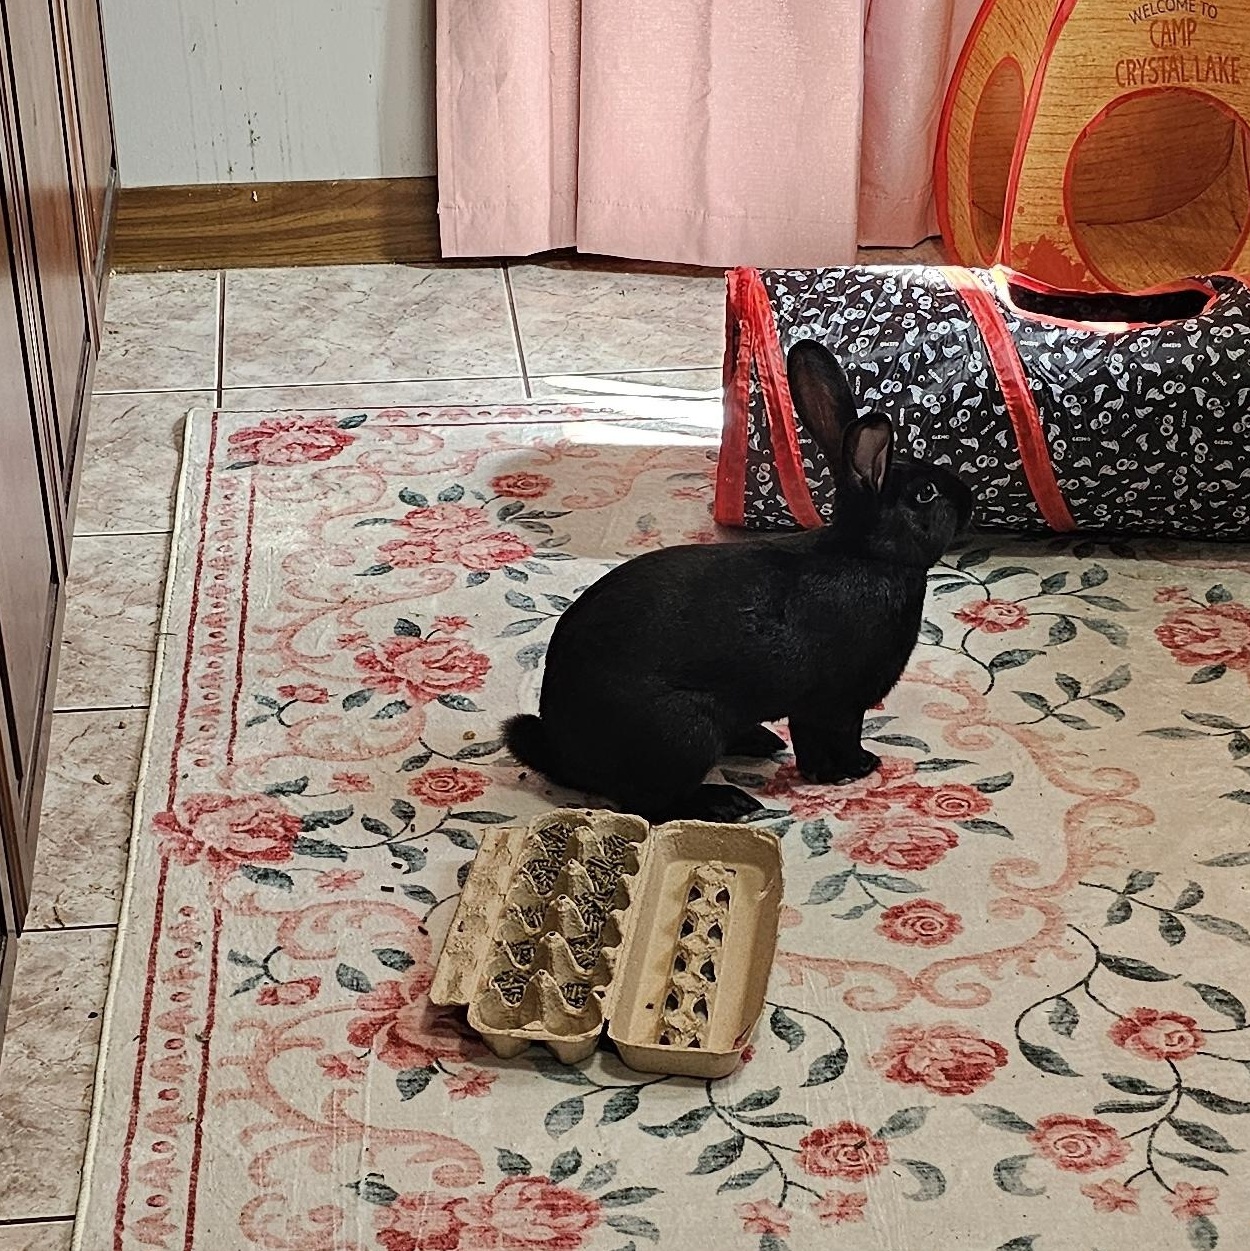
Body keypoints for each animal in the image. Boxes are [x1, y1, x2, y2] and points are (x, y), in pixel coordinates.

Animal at [503, 338, 974, 825]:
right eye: (925, 494)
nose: (970, 500)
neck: (868, 554)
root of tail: (566, 755)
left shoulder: (816, 705)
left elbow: (809, 739)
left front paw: (830, 771)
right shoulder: (839, 701)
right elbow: (838, 736)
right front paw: (856, 768)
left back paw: (761, 742)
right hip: (683, 734)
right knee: (651, 805)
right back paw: (728, 802)